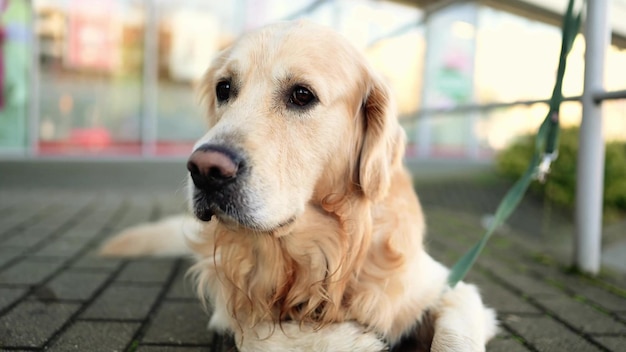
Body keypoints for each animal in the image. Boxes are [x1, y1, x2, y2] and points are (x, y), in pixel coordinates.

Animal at [101, 20, 498, 352]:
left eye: (302, 95)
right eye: (224, 89)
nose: (205, 169)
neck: (323, 251)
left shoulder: (450, 289)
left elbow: (454, 339)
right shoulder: (230, 304)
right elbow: (259, 335)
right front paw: (353, 339)